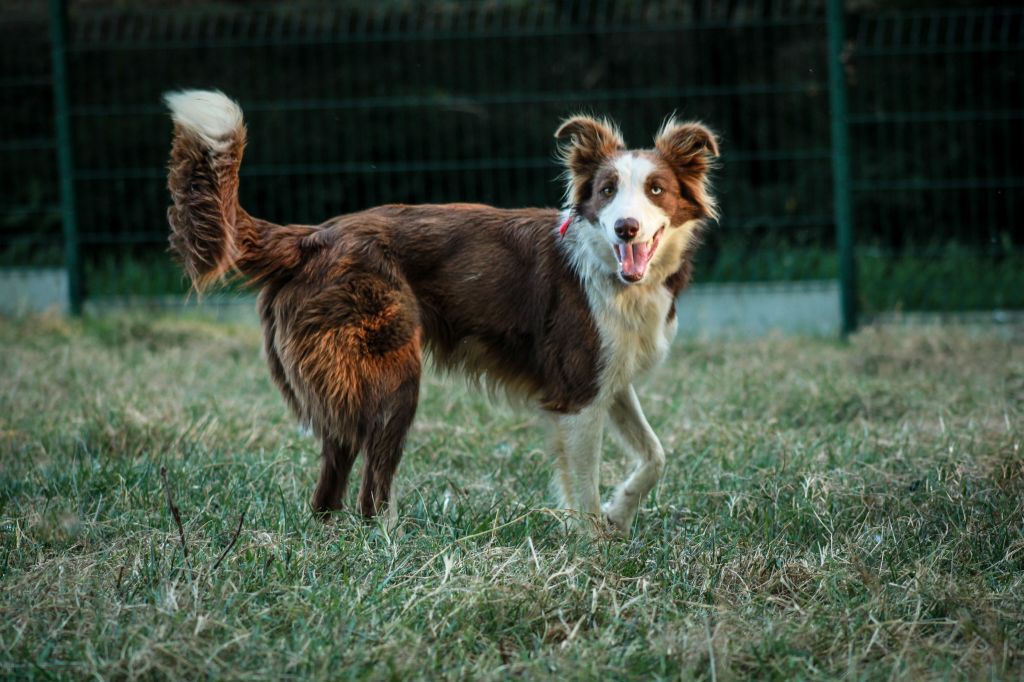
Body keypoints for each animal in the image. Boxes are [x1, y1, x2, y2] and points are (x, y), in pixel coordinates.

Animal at [163, 89, 716, 532]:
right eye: (606, 191)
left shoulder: (609, 379)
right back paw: (388, 542)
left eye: (656, 190)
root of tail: (312, 237)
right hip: (391, 378)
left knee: (329, 487)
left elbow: (656, 455)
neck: (608, 269)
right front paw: (594, 546)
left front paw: (619, 512)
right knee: (371, 490)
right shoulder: (577, 394)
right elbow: (583, 488)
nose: (626, 227)